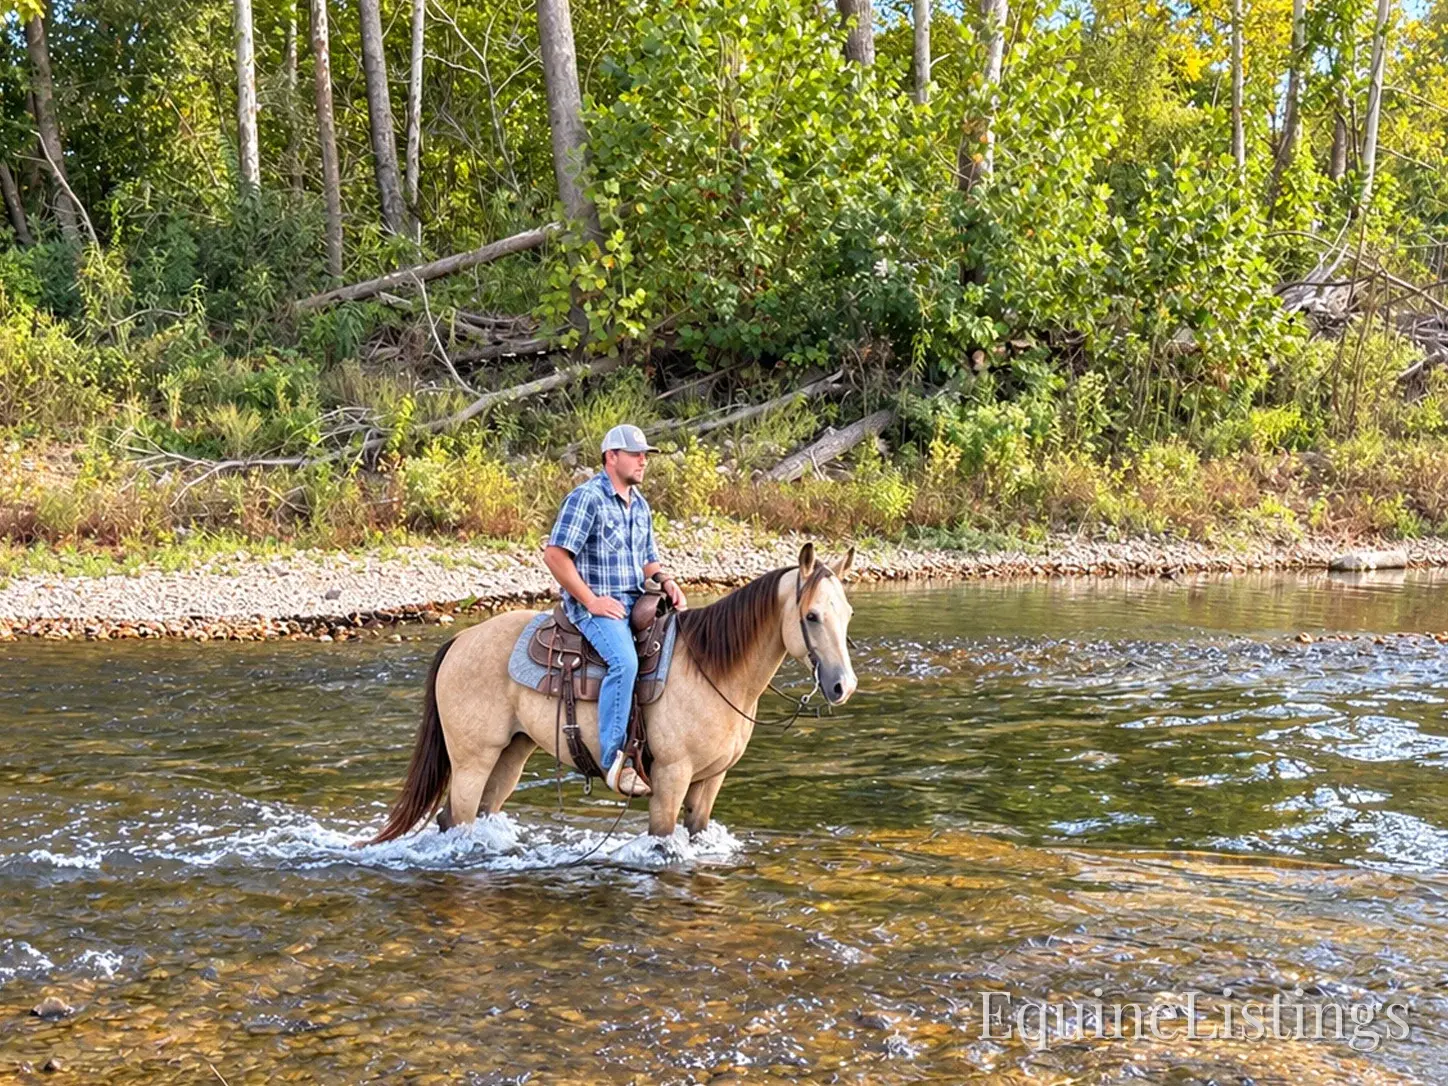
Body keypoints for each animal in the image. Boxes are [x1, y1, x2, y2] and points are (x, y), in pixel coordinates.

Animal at [370, 543, 858, 843]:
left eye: (848, 612)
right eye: (812, 616)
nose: (843, 686)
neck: (713, 673)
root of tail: (459, 641)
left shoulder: (711, 780)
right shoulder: (671, 778)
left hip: (510, 754)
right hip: (473, 759)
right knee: (459, 817)